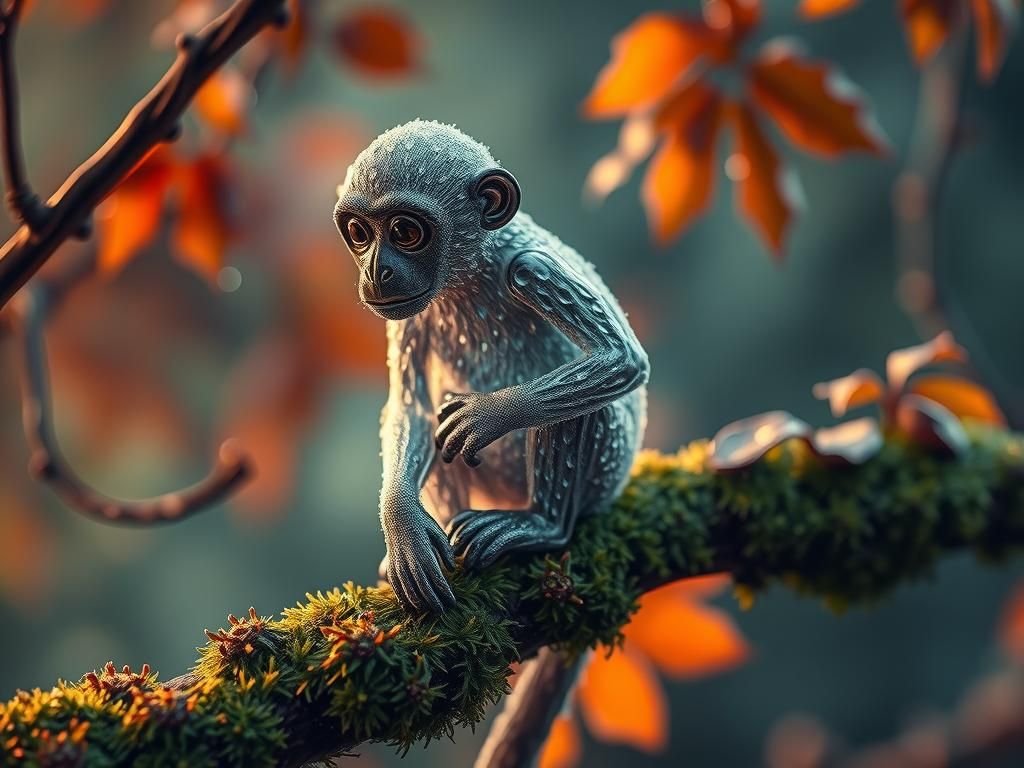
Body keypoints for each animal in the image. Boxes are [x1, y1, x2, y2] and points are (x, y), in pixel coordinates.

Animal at [333, 120, 649, 614]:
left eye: (405, 230)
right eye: (358, 232)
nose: (375, 272)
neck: (469, 274)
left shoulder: (534, 269)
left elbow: (620, 359)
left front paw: (489, 414)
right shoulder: (409, 315)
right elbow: (412, 407)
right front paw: (404, 528)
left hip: (605, 476)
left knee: (583, 406)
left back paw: (536, 525)